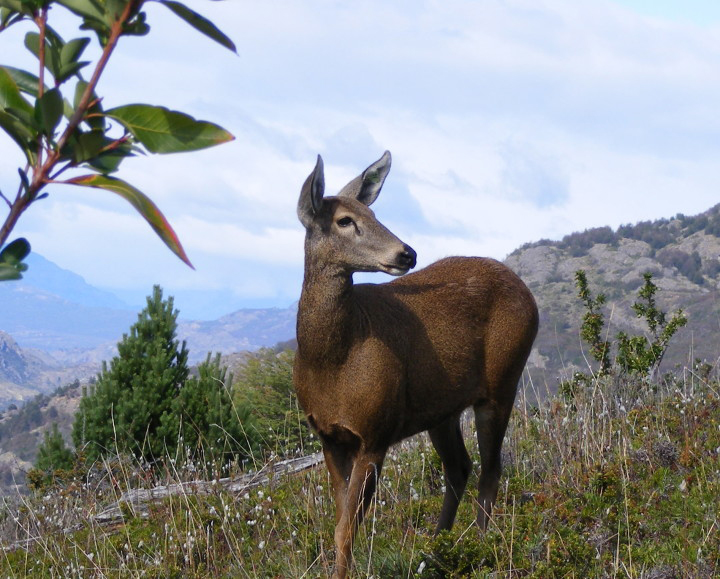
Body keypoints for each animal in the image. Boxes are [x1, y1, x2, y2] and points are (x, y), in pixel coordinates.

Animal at [292, 152, 536, 576]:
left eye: (373, 213)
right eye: (345, 220)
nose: (406, 253)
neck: (331, 362)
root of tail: (527, 291)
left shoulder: (375, 431)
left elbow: (346, 529)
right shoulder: (329, 437)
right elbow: (340, 523)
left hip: (503, 380)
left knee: (491, 469)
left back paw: (480, 546)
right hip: (441, 409)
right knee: (460, 467)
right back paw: (436, 552)